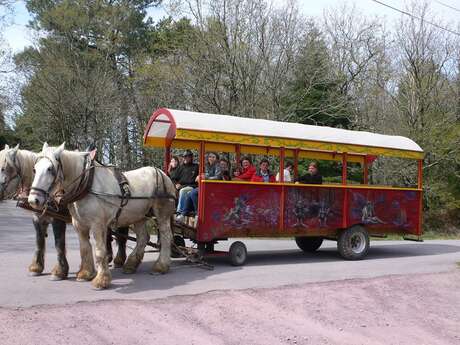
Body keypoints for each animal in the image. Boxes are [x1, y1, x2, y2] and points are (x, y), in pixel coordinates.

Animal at [28, 142, 176, 288]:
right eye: (34, 169)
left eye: (50, 169)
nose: (33, 200)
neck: (87, 185)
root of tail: (162, 174)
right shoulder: (79, 225)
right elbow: (84, 248)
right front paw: (85, 274)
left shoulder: (97, 225)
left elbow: (99, 251)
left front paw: (101, 280)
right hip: (139, 216)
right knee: (143, 238)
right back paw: (131, 264)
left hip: (162, 213)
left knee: (165, 236)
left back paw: (160, 266)